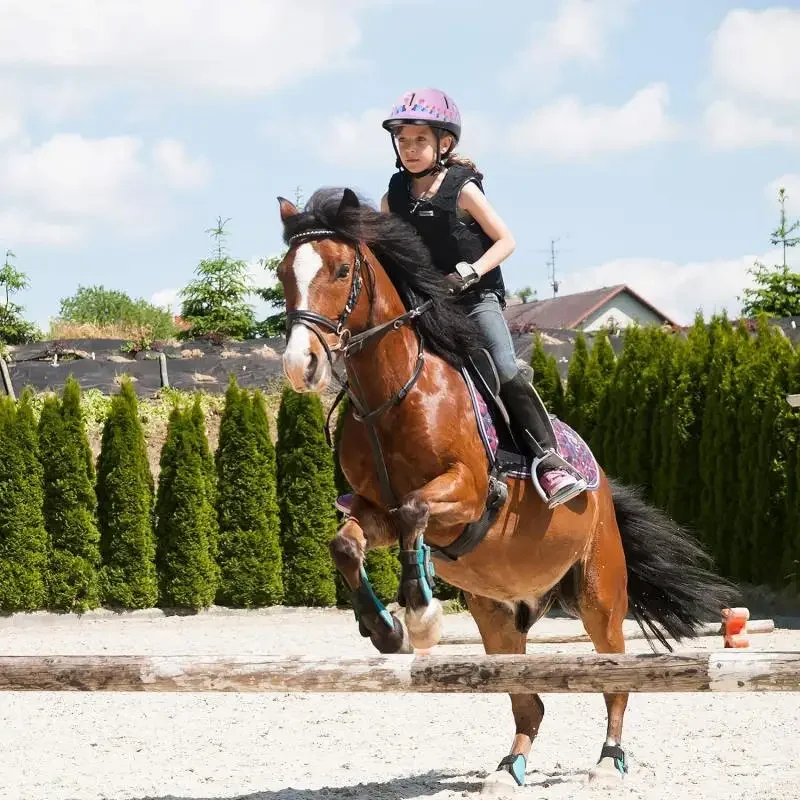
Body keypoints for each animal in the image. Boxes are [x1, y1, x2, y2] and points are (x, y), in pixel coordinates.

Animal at [276, 188, 736, 792]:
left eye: (341, 269)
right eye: (284, 273)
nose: (299, 365)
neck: (391, 395)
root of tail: (603, 486)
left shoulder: (468, 496)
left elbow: (415, 510)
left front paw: (419, 613)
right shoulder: (373, 511)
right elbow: (347, 543)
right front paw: (384, 630)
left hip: (599, 595)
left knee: (614, 679)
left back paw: (608, 761)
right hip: (497, 615)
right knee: (528, 702)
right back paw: (508, 768)